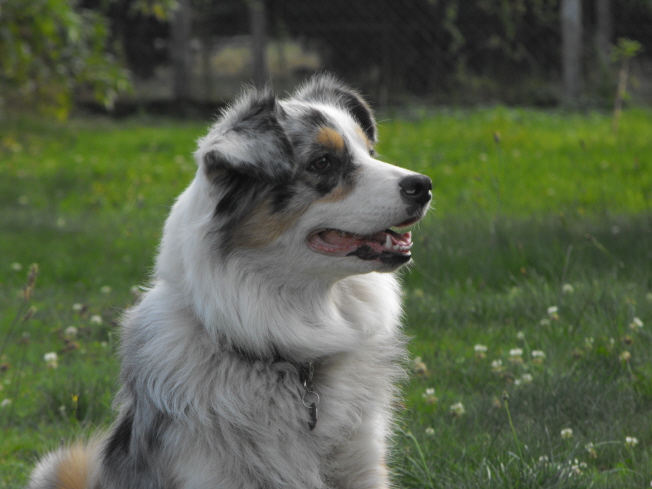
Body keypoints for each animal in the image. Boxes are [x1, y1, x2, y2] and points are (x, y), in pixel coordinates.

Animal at [28, 75, 430, 488]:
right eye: (323, 162)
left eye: (370, 152)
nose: (424, 185)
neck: (291, 362)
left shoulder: (363, 463)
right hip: (61, 465)